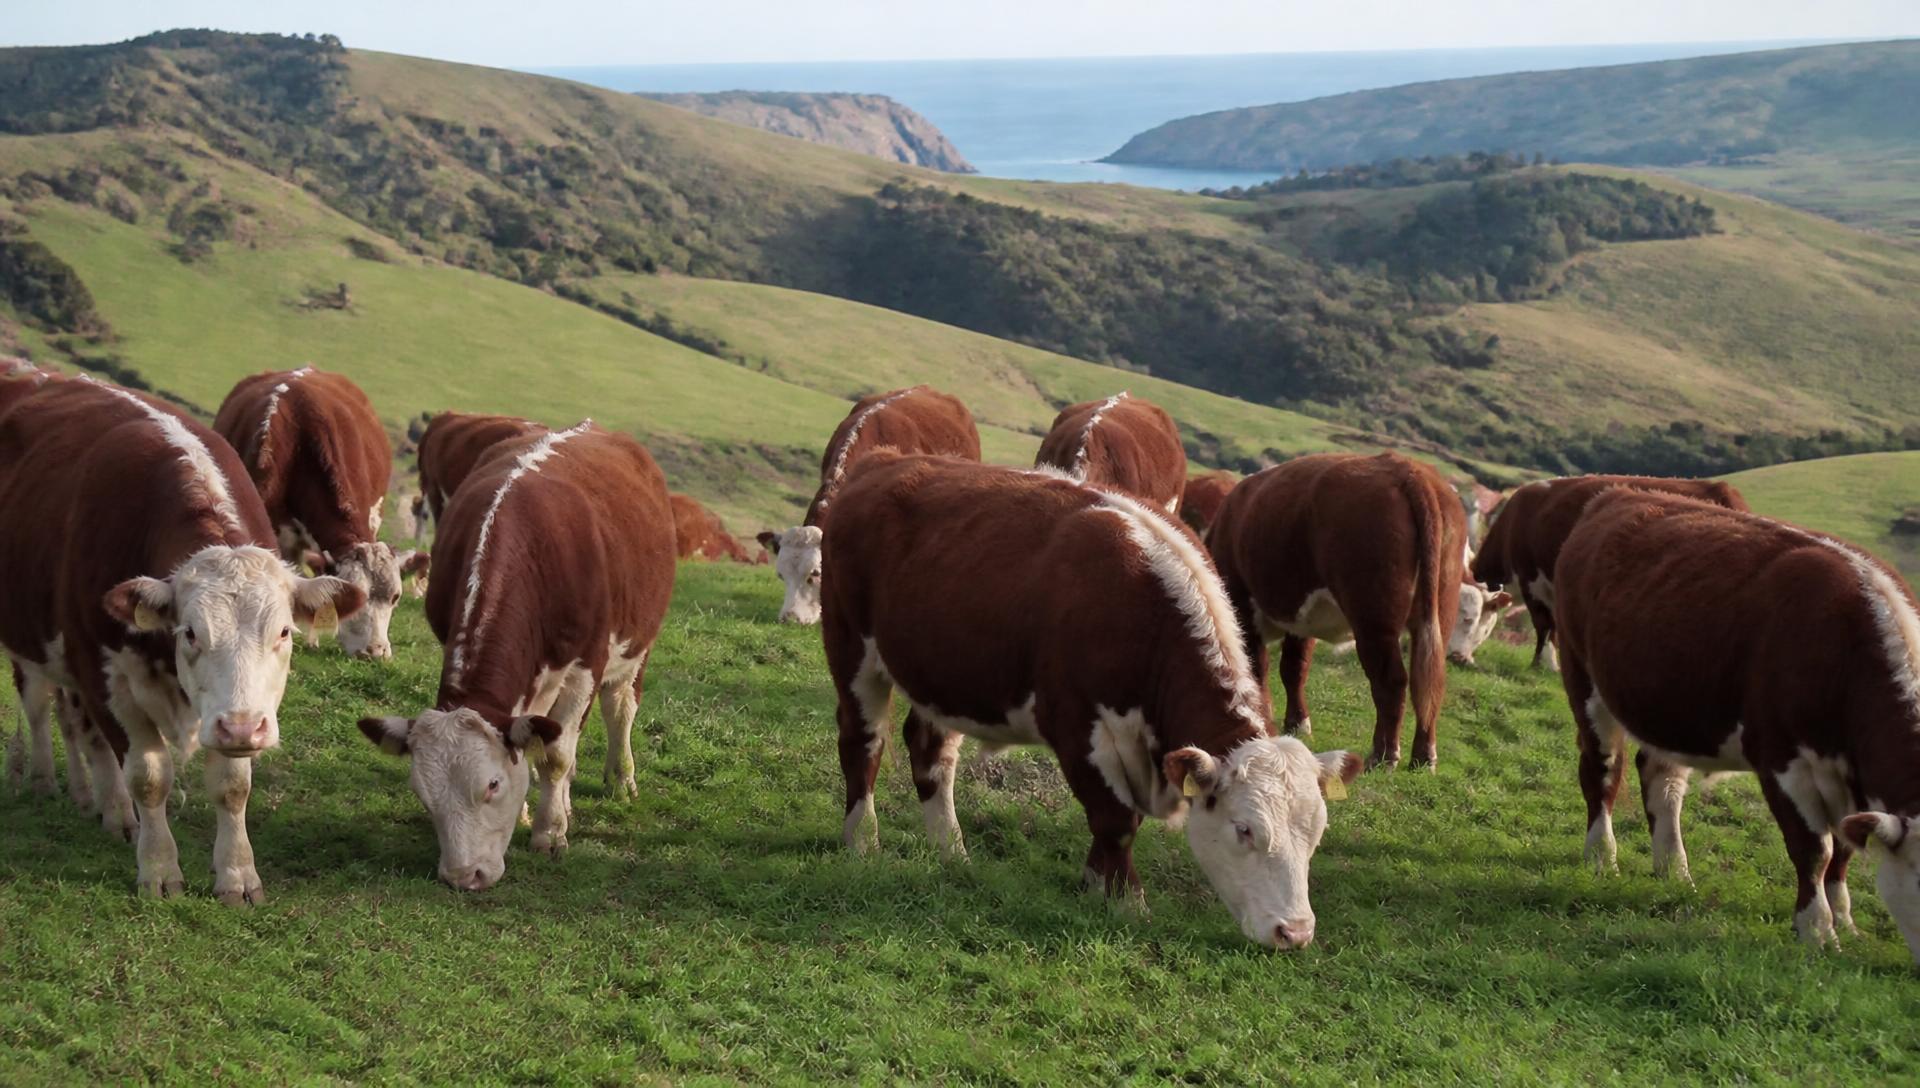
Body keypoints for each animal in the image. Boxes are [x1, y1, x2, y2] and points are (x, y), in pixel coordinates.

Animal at [0, 377, 363, 901]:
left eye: (284, 631)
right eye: (190, 631)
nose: (242, 729)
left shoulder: (228, 713)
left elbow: (232, 785)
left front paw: (238, 875)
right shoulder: (103, 676)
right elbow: (148, 778)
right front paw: (158, 869)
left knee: (76, 724)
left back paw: (94, 800)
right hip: (31, 644)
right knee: (39, 706)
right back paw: (51, 783)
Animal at [357, 422, 676, 890]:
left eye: (491, 785)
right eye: (422, 793)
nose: (463, 876)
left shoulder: (585, 666)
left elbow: (558, 754)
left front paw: (550, 832)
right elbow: (534, 746)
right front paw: (534, 811)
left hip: (637, 644)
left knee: (619, 708)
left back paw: (619, 780)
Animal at [821, 453, 1362, 948]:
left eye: (1316, 831)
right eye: (1245, 829)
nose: (1295, 932)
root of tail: (888, 460)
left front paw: (1094, 882)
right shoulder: (1078, 727)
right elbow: (1116, 819)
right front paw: (1127, 902)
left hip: (941, 674)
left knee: (931, 753)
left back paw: (951, 851)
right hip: (851, 648)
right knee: (862, 743)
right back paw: (862, 840)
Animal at [1209, 452, 1468, 770]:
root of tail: (1407, 469)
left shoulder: (1243, 608)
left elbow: (1258, 668)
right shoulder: (1301, 620)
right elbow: (1294, 668)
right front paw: (1297, 723)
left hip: (1372, 619)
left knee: (1391, 681)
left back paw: (1383, 756)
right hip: (1437, 613)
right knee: (1430, 681)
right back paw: (1423, 756)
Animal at [1553, 488, 1920, 962]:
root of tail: (1620, 493)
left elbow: (1842, 852)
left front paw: (1845, 922)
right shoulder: (1782, 760)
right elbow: (1814, 850)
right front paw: (1816, 930)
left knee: (1662, 782)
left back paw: (1674, 870)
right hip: (1583, 678)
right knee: (1602, 773)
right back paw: (1601, 858)